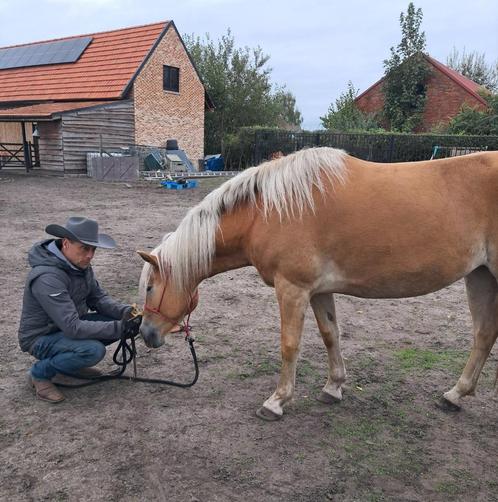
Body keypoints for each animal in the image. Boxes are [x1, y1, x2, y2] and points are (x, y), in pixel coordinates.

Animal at [138, 147, 498, 422]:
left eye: (149, 287)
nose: (145, 333)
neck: (268, 211)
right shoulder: (319, 291)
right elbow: (330, 335)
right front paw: (333, 387)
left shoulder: (292, 289)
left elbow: (289, 345)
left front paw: (277, 401)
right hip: (480, 276)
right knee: (484, 335)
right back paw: (455, 395)